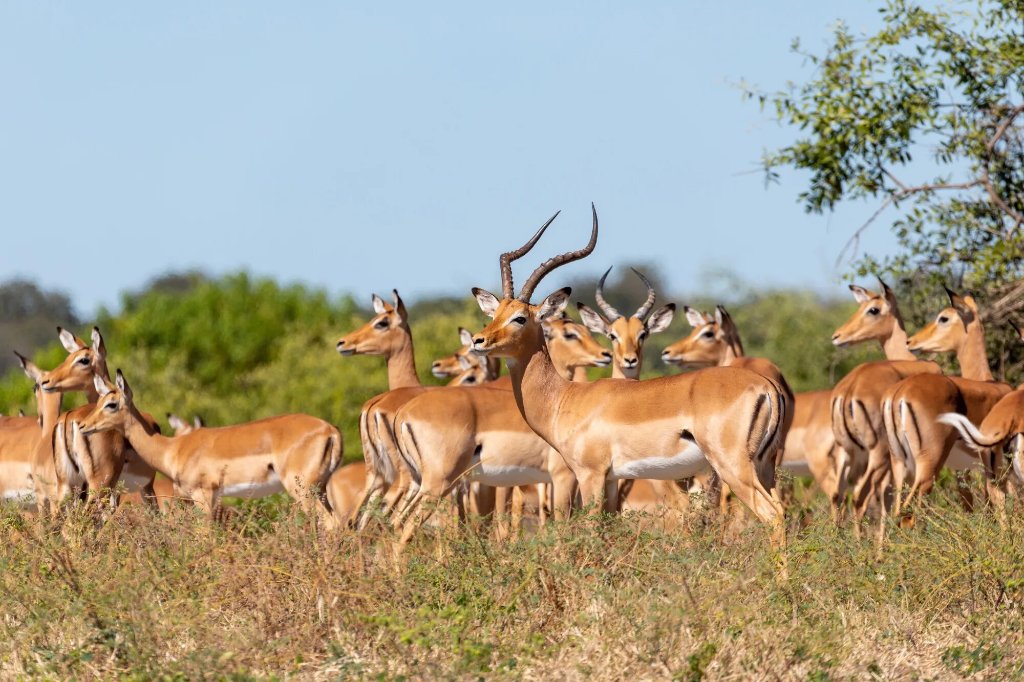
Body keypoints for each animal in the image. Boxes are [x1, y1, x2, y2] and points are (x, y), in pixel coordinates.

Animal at [78, 370, 342, 526]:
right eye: (100, 402)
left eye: (112, 404)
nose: (82, 425)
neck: (173, 449)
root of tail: (331, 430)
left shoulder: (202, 495)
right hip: (320, 489)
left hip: (303, 490)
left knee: (330, 522)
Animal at [392, 311, 613, 544]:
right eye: (570, 334)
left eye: (586, 330)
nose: (606, 354)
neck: (559, 402)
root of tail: (403, 412)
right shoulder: (562, 476)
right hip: (439, 483)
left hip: (421, 482)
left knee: (397, 521)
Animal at [468, 206, 788, 552]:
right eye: (494, 314)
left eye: (520, 318)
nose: (478, 340)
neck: (566, 399)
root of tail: (766, 387)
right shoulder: (611, 479)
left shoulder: (590, 475)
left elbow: (590, 532)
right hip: (765, 466)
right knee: (782, 510)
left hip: (733, 466)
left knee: (771, 514)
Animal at [829, 281, 941, 531]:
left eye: (873, 309)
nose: (836, 336)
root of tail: (848, 389)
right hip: (877, 453)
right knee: (860, 497)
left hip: (847, 452)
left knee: (836, 495)